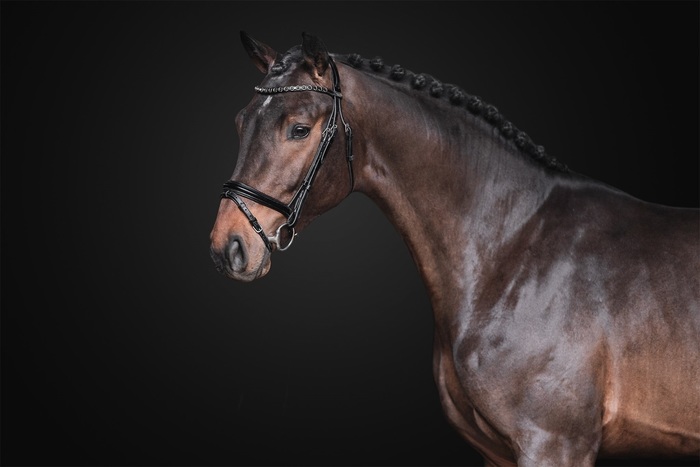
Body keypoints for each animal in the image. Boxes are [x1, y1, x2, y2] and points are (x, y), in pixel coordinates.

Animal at [209, 32, 700, 466]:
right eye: (239, 121)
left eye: (299, 129)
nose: (227, 246)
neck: (513, 250)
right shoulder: (498, 454)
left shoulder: (556, 444)